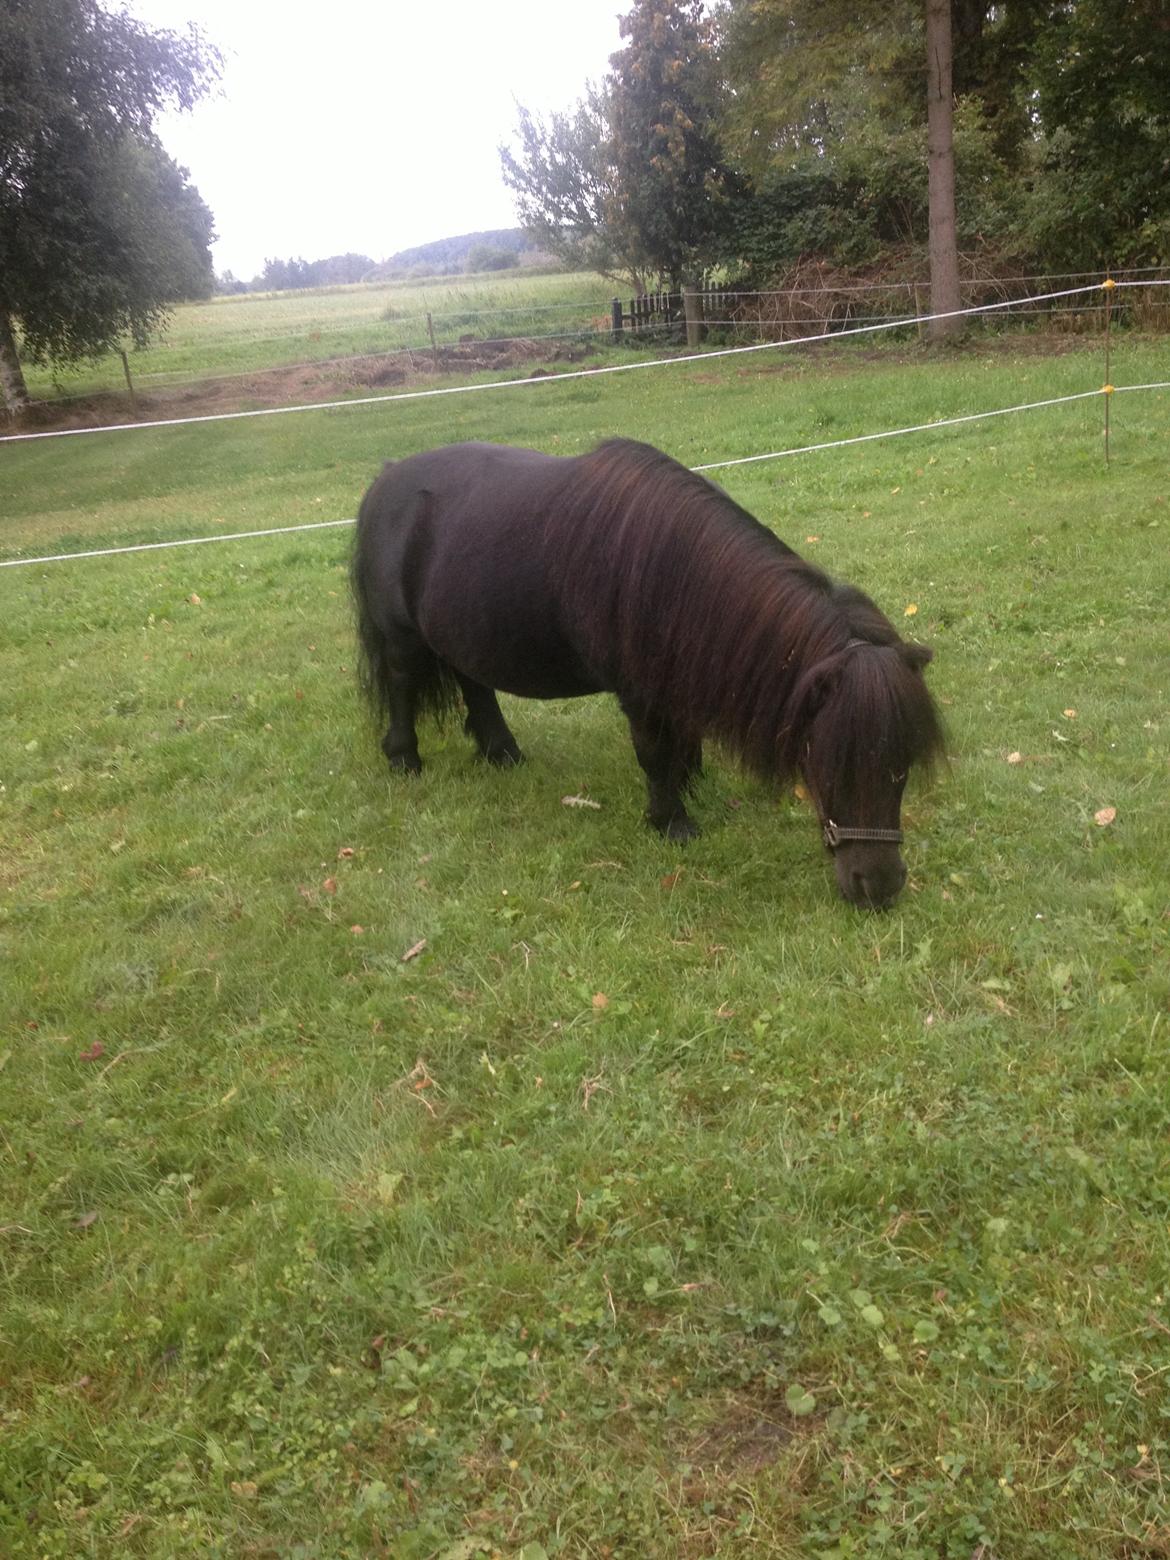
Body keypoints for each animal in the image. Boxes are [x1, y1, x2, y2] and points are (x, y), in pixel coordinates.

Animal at [351, 438, 944, 909]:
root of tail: (386, 476)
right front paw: (671, 819)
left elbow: (683, 736)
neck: (670, 569)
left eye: (904, 762)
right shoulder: (639, 694)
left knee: (474, 683)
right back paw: (405, 759)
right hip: (402, 639)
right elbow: (654, 752)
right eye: (830, 761)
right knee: (403, 684)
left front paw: (689, 782)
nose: (879, 886)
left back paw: (502, 752)